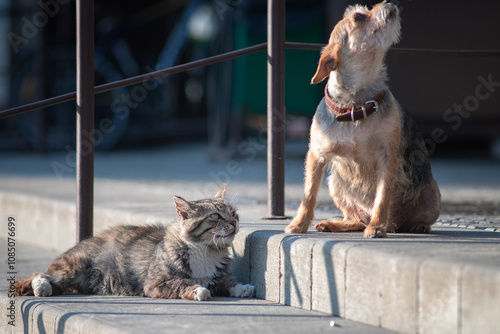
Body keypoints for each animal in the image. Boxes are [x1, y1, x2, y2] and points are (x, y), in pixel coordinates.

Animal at [15, 185, 254, 300]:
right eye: (215, 216)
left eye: (233, 213)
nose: (234, 222)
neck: (206, 251)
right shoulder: (156, 283)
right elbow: (183, 284)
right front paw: (199, 291)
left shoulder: (219, 277)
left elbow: (228, 283)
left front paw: (242, 287)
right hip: (71, 266)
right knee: (40, 274)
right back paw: (42, 287)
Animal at [286, 0, 442, 237]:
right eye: (359, 16)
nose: (387, 2)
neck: (355, 105)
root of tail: (395, 225)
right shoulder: (316, 155)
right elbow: (309, 194)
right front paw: (299, 223)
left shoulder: (388, 158)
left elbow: (382, 196)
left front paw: (376, 227)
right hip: (335, 183)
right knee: (354, 218)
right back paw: (334, 224)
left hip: (432, 194)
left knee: (419, 216)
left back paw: (414, 225)